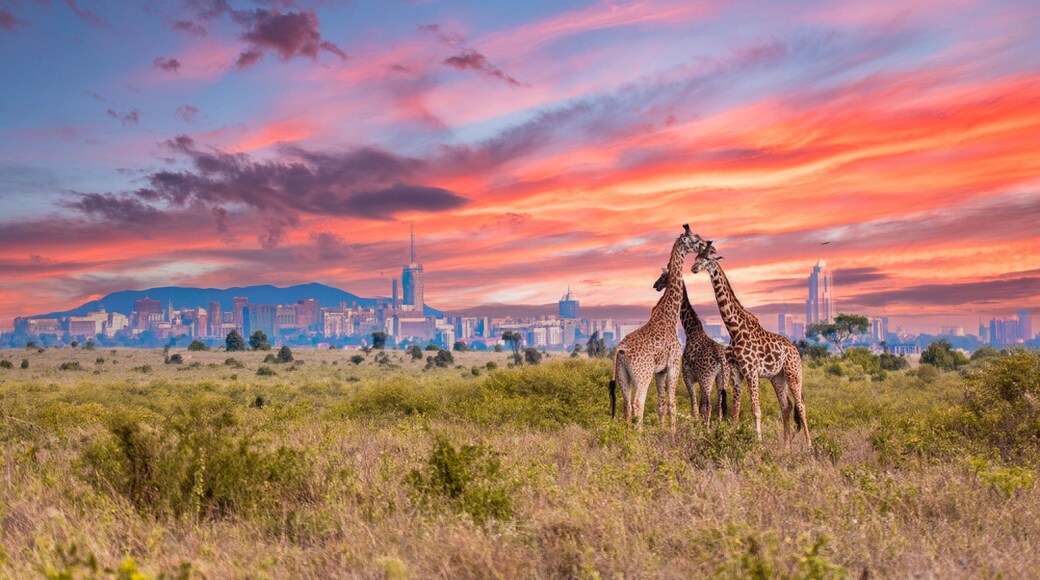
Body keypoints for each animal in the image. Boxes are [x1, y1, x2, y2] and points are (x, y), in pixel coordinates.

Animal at [609, 225, 703, 432]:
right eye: (695, 240)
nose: (705, 245)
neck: (669, 315)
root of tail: (621, 350)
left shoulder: (660, 371)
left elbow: (661, 405)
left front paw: (662, 431)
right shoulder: (674, 364)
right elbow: (672, 403)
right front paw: (672, 434)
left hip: (623, 376)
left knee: (627, 406)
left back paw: (628, 437)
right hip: (642, 375)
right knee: (638, 404)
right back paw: (640, 437)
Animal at [652, 268, 730, 425]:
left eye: (663, 276)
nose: (655, 285)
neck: (691, 331)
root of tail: (721, 357)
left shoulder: (688, 377)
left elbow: (695, 408)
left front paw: (696, 427)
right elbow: (699, 407)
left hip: (707, 378)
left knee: (709, 406)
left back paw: (707, 429)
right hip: (722, 378)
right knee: (719, 406)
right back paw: (719, 427)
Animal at [690, 243, 812, 446]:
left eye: (707, 258)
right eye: (695, 257)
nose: (694, 268)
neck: (734, 329)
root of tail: (795, 350)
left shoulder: (751, 371)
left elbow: (756, 410)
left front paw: (758, 445)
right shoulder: (736, 373)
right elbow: (736, 411)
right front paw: (731, 439)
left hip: (793, 374)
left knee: (801, 405)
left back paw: (809, 446)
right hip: (777, 377)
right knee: (786, 405)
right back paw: (786, 447)